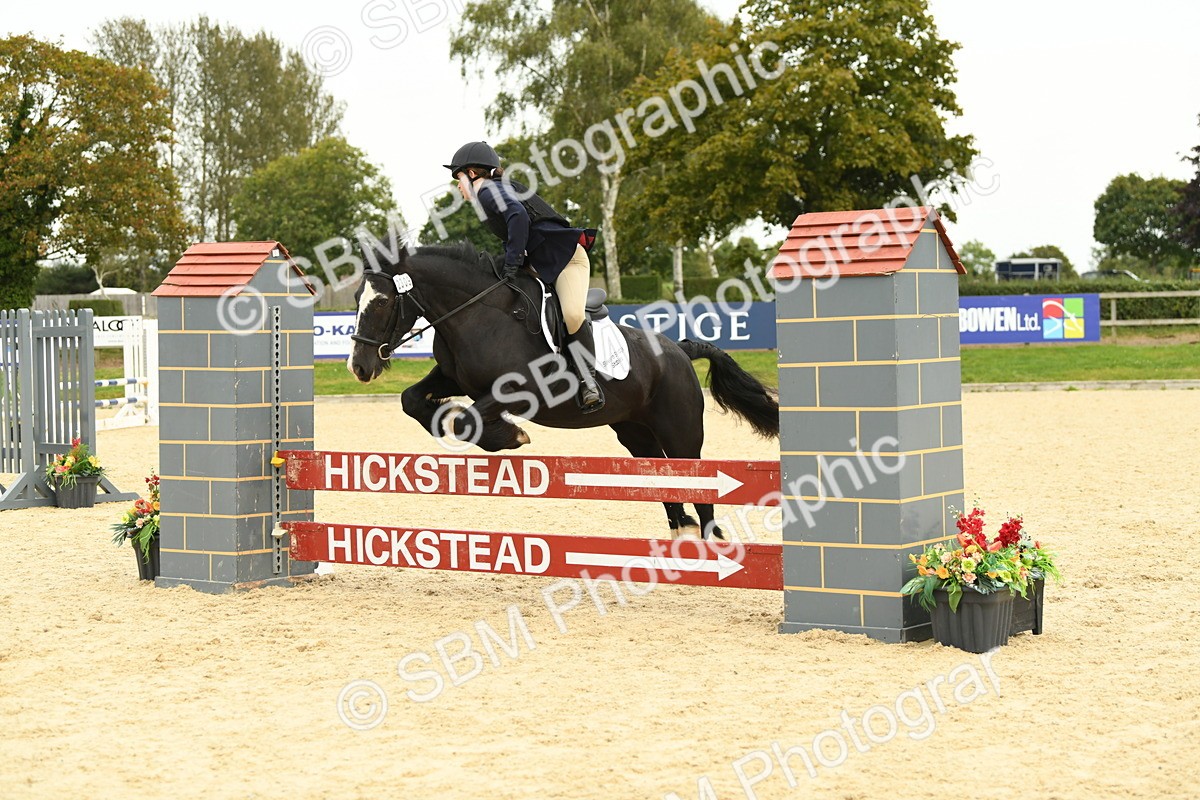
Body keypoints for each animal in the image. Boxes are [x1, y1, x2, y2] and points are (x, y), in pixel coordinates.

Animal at [346, 241, 779, 540]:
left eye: (381, 302)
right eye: (356, 299)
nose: (360, 367)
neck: (475, 314)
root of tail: (679, 349)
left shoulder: (521, 389)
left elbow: (469, 418)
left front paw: (509, 435)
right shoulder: (454, 377)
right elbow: (413, 400)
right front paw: (475, 427)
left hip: (680, 431)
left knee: (698, 485)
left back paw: (707, 539)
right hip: (635, 432)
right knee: (661, 479)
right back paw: (680, 528)